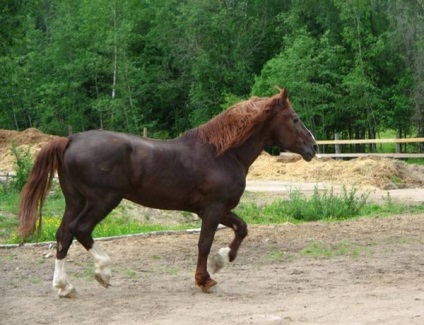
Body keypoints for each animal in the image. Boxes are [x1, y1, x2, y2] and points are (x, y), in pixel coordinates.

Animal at [19, 88, 316, 296]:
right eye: (295, 118)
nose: (313, 147)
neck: (221, 154)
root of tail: (70, 139)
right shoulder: (213, 209)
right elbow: (204, 243)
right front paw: (206, 279)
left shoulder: (215, 209)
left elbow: (241, 228)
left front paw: (222, 260)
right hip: (103, 200)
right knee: (80, 230)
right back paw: (103, 272)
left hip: (75, 200)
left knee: (63, 235)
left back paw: (65, 287)